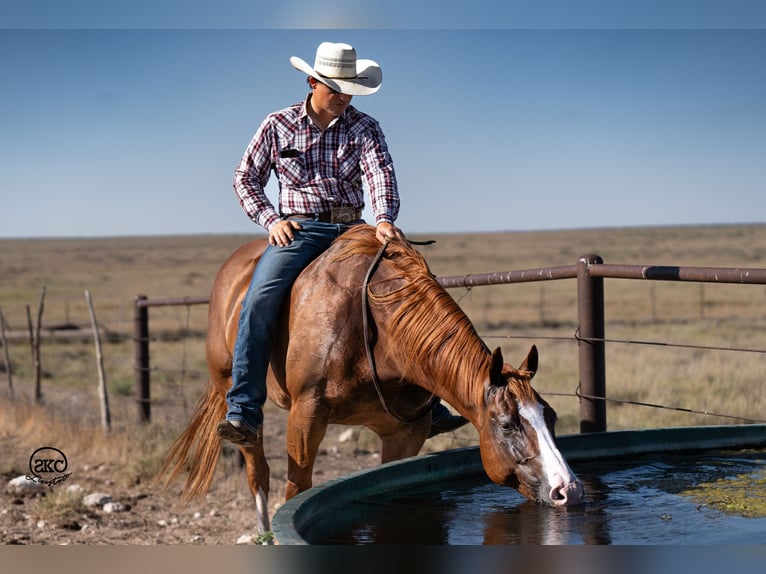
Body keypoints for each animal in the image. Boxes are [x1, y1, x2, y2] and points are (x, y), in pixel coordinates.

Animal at [159, 224, 584, 536]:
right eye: (508, 424)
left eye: (551, 417)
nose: (569, 490)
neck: (378, 331)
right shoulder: (305, 416)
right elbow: (297, 488)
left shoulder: (406, 433)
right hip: (231, 388)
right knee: (256, 467)